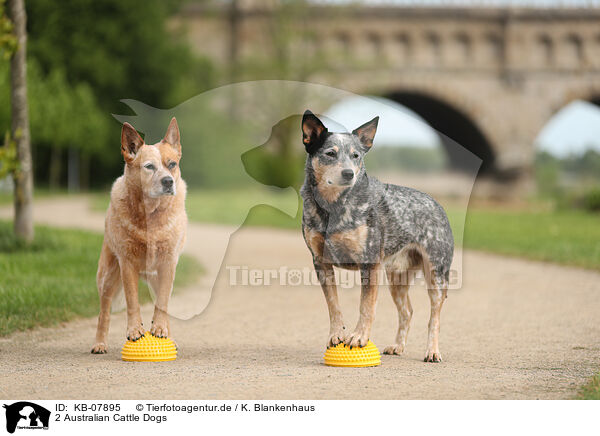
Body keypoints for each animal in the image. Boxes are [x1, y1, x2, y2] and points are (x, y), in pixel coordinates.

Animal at [90, 119, 185, 354]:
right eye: (149, 166)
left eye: (172, 164)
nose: (168, 182)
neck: (150, 214)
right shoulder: (127, 263)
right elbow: (132, 301)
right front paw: (134, 330)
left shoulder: (168, 264)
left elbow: (163, 303)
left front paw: (160, 329)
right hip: (107, 276)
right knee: (103, 312)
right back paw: (99, 344)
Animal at [300, 110, 454, 362]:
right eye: (330, 153)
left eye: (356, 155)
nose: (348, 173)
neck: (333, 208)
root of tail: (437, 203)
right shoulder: (320, 262)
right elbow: (333, 304)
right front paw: (336, 334)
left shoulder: (370, 262)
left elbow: (366, 306)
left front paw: (359, 337)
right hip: (397, 277)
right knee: (407, 311)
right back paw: (397, 346)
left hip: (436, 273)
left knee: (435, 317)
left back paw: (432, 351)